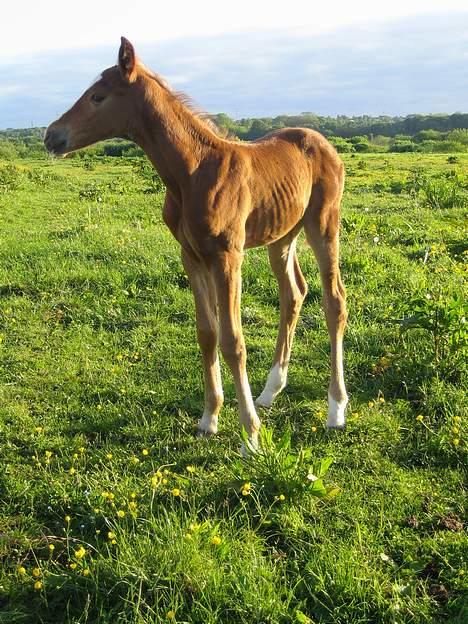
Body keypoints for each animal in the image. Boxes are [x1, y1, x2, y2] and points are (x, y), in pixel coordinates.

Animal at [45, 37, 348, 448]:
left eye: (97, 96)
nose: (51, 135)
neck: (192, 172)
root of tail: (322, 142)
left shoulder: (227, 256)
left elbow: (233, 340)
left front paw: (250, 435)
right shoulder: (190, 256)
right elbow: (207, 333)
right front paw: (209, 419)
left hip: (322, 223)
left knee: (334, 301)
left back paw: (336, 409)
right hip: (282, 235)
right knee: (294, 294)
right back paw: (271, 390)